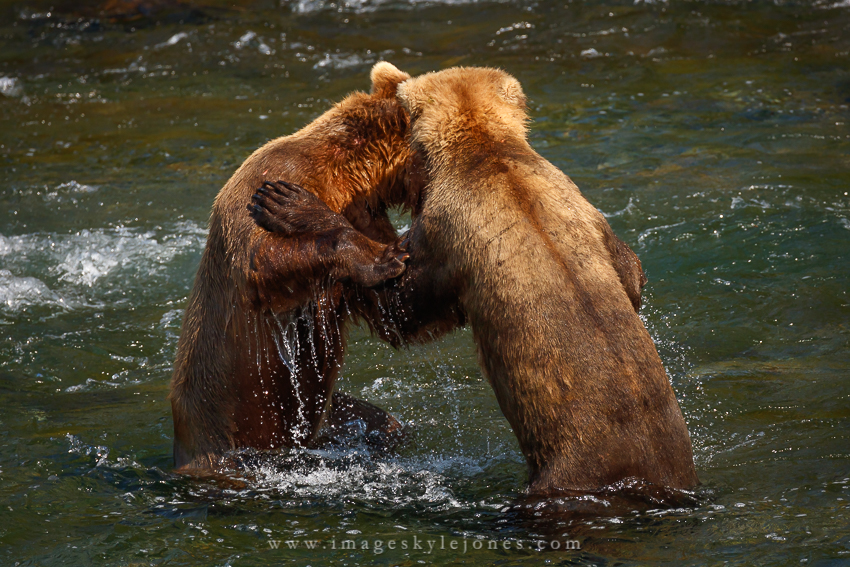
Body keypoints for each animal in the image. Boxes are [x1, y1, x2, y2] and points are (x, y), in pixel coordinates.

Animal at [169, 62, 425, 473]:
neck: (353, 173)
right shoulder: (269, 183)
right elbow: (264, 260)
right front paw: (380, 256)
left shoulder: (365, 211)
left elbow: (396, 309)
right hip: (219, 429)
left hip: (330, 417)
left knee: (380, 422)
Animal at [251, 66, 699, 495]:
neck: (484, 152)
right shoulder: (578, 203)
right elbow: (631, 272)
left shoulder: (444, 231)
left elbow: (403, 306)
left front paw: (289, 204)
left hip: (572, 465)